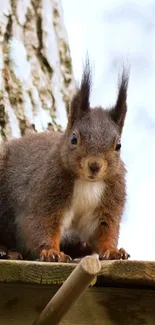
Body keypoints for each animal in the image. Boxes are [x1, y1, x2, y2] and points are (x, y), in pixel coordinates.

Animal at [0, 60, 130, 262]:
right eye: (74, 138)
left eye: (118, 145)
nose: (94, 165)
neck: (87, 183)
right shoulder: (47, 192)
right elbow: (42, 223)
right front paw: (51, 252)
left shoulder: (109, 201)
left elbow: (105, 230)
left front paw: (112, 251)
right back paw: (5, 250)